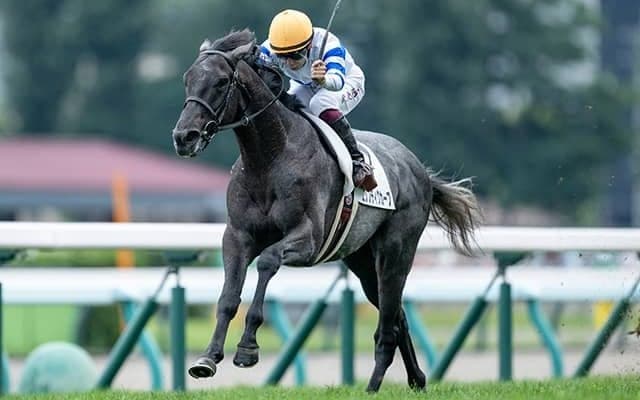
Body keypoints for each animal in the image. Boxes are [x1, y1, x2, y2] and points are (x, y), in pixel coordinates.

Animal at [172, 29, 481, 392]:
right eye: (188, 79)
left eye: (221, 82)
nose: (184, 137)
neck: (270, 158)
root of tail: (419, 169)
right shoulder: (237, 236)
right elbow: (227, 298)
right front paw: (207, 359)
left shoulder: (309, 239)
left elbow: (267, 261)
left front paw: (247, 348)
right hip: (362, 260)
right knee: (396, 315)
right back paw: (416, 379)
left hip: (396, 252)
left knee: (388, 324)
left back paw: (373, 386)